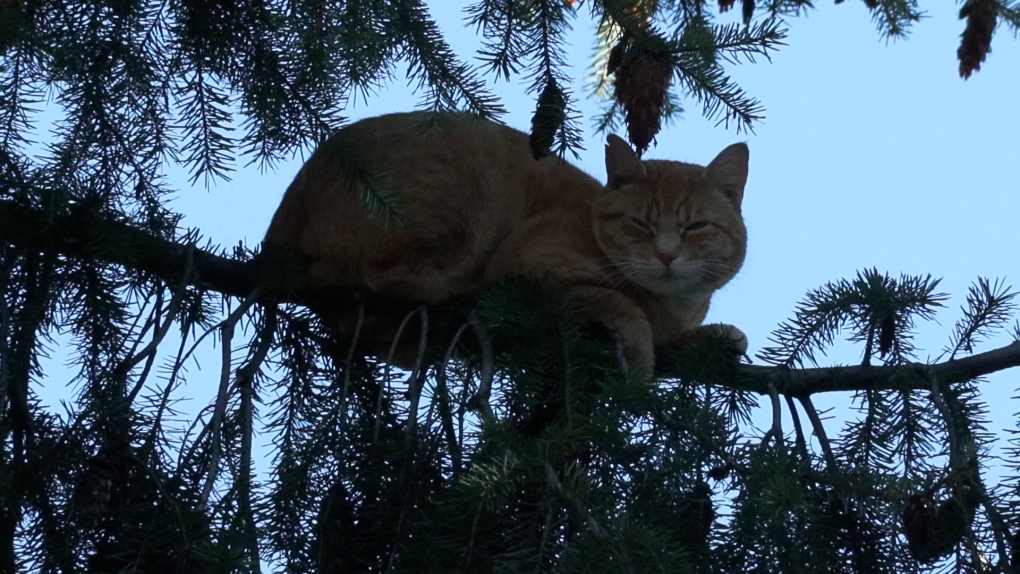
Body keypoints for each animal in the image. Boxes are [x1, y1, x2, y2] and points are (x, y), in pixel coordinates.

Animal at [265, 112, 750, 381]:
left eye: (696, 227)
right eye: (640, 224)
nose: (666, 254)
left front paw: (715, 336)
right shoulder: (527, 264)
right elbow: (618, 303)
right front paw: (639, 353)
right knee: (384, 278)